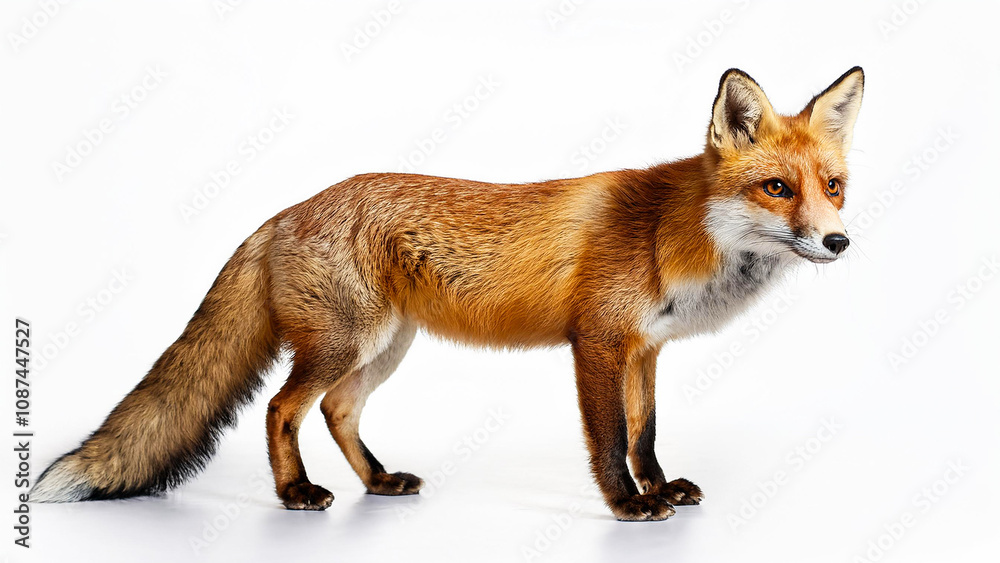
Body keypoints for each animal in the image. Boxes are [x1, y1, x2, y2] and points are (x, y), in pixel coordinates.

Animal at [32, 67, 863, 521]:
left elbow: (645, 434)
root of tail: (287, 210)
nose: (838, 242)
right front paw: (628, 505)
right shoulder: (596, 342)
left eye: (832, 187)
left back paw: (378, 481)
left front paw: (661, 487)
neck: (672, 232)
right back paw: (296, 492)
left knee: (337, 411)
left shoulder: (645, 349)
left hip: (383, 349)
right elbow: (607, 442)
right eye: (776, 187)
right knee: (280, 408)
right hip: (342, 342)